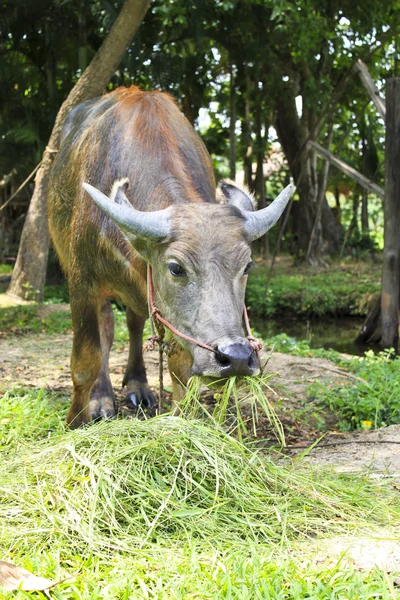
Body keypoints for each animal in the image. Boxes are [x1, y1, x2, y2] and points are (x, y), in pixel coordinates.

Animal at [49, 86, 294, 428]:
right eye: (176, 268)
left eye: (247, 266)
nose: (235, 358)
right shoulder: (82, 282)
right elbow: (86, 360)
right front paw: (76, 421)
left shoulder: (173, 317)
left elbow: (180, 370)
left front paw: (179, 421)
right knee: (107, 329)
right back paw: (103, 399)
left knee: (134, 323)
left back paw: (138, 386)